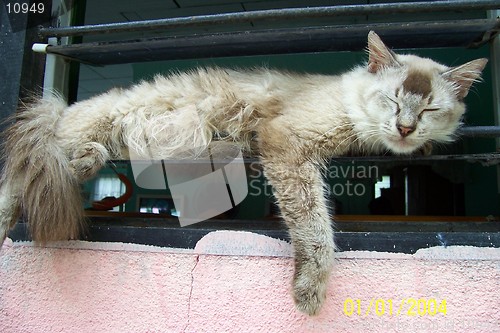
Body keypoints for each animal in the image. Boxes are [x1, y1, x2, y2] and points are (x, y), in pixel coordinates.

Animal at [0, 31, 486, 314]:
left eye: (430, 109)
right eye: (392, 100)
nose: (406, 128)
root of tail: (64, 109)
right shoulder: (288, 142)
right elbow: (315, 228)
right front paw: (309, 292)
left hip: (119, 141)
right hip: (85, 133)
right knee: (15, 182)